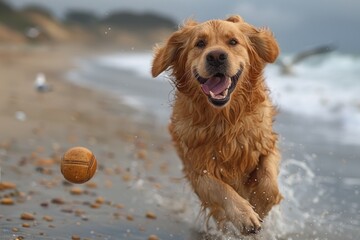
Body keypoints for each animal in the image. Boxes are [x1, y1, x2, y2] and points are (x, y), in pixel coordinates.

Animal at [150, 15, 282, 234]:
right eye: (200, 43)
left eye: (233, 42)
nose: (216, 56)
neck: (224, 119)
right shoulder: (196, 169)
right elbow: (220, 189)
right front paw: (244, 215)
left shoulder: (265, 144)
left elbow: (269, 183)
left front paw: (260, 206)